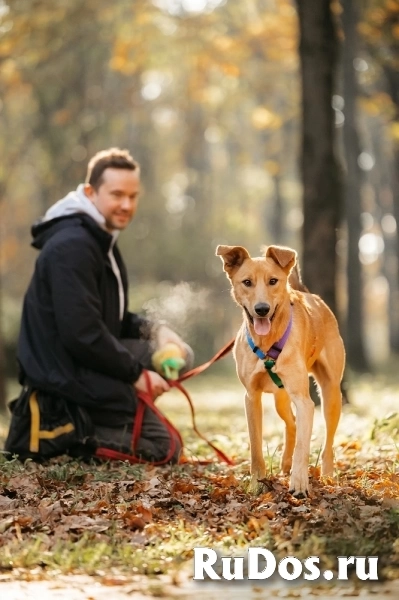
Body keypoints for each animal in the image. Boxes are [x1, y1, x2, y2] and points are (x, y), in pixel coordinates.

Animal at [217, 244, 346, 496]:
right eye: (247, 282)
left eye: (273, 281)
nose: (262, 309)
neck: (268, 343)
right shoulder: (252, 398)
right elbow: (255, 448)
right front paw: (256, 484)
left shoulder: (304, 400)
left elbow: (303, 447)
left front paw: (299, 483)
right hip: (280, 399)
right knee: (292, 423)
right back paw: (286, 464)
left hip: (331, 394)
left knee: (327, 443)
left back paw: (326, 476)